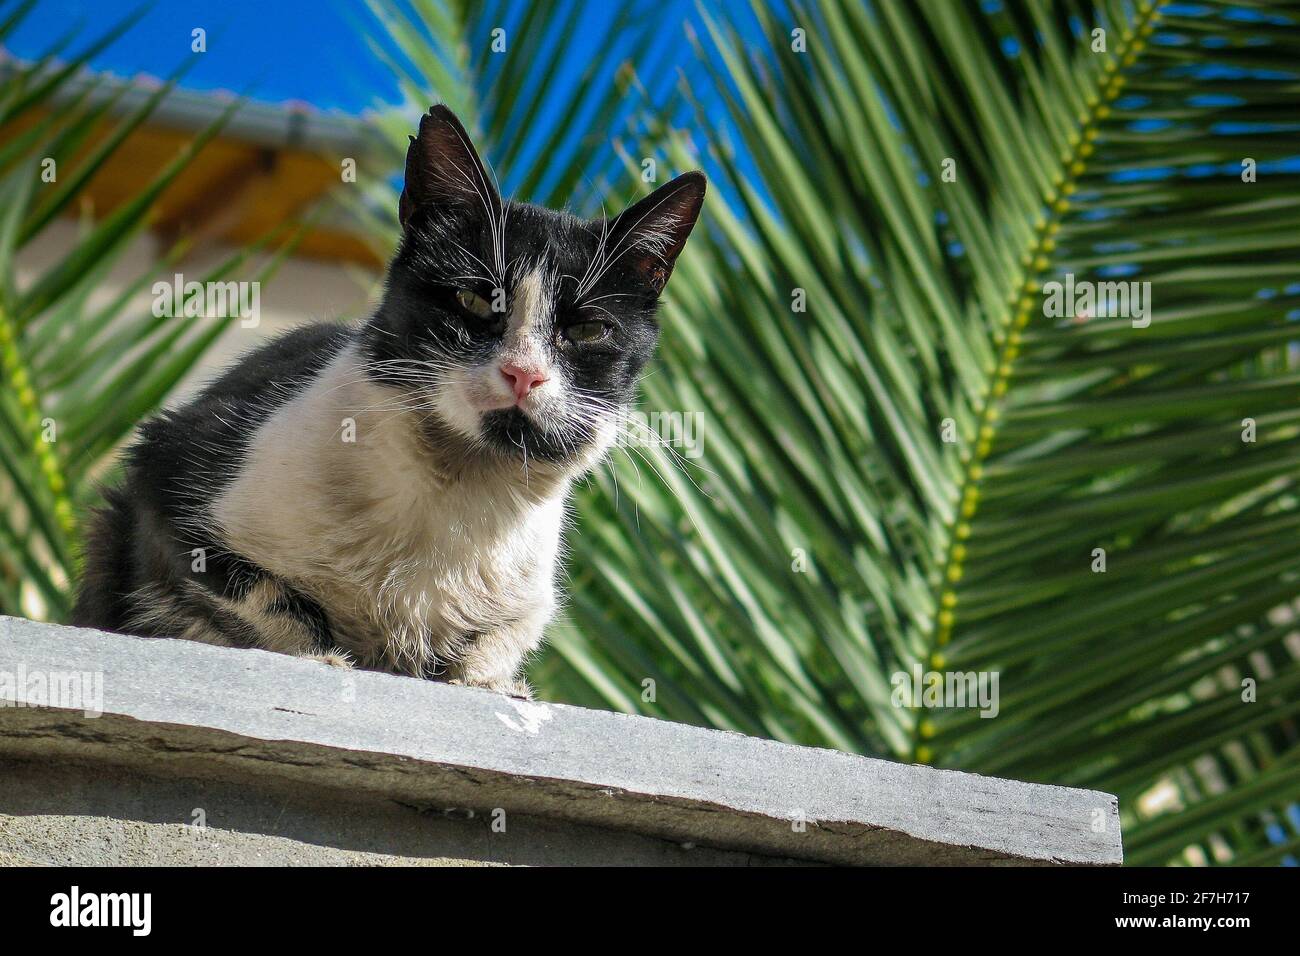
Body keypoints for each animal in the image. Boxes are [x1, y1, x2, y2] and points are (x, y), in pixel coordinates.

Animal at [76, 106, 707, 697]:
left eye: (588, 331)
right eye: (474, 299)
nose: (523, 374)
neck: (458, 492)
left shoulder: (526, 606)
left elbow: (493, 647)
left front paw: (492, 685)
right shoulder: (172, 475)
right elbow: (274, 604)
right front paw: (326, 658)